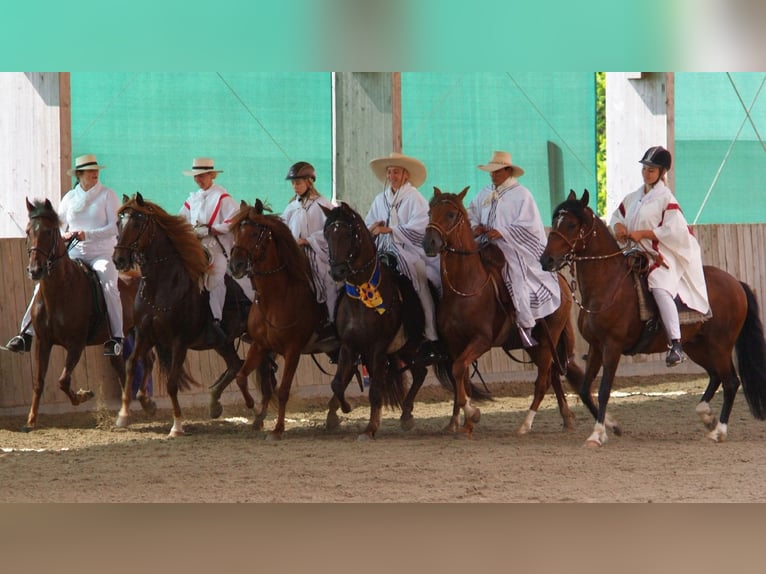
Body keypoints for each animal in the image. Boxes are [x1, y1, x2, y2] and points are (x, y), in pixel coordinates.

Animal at [16, 198, 142, 432]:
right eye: (28, 231)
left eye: (49, 231)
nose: (35, 271)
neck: (60, 290)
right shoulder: (43, 343)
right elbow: (39, 382)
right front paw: (31, 421)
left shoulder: (76, 344)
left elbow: (63, 380)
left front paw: (84, 395)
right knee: (121, 370)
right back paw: (126, 412)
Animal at [225, 199, 340, 440]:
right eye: (237, 233)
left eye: (254, 233)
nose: (236, 265)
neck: (277, 297)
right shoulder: (260, 346)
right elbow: (241, 377)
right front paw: (253, 408)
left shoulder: (292, 350)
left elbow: (284, 390)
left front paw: (277, 429)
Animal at [322, 202, 460, 440]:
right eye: (327, 234)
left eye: (348, 233)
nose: (337, 271)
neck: (362, 298)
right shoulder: (349, 346)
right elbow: (337, 383)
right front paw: (344, 409)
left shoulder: (377, 348)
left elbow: (375, 390)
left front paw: (370, 428)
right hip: (408, 348)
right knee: (420, 373)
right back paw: (406, 416)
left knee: (455, 375)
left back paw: (454, 421)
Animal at [424, 188, 584, 436]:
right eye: (430, 212)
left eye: (450, 214)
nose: (429, 242)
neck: (465, 288)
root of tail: (562, 281)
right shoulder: (454, 344)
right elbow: (459, 376)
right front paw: (459, 422)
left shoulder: (481, 340)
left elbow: (459, 369)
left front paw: (473, 413)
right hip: (536, 345)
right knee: (554, 375)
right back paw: (566, 417)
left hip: (548, 341)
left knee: (544, 380)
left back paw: (526, 424)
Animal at [540, 191, 766, 448]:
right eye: (555, 221)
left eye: (570, 225)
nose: (546, 260)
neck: (608, 285)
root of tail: (736, 283)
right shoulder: (596, 346)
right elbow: (586, 390)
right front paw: (612, 426)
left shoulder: (612, 347)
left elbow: (605, 389)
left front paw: (597, 434)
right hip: (697, 346)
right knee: (716, 376)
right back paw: (707, 416)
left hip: (720, 345)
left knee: (731, 382)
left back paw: (719, 430)